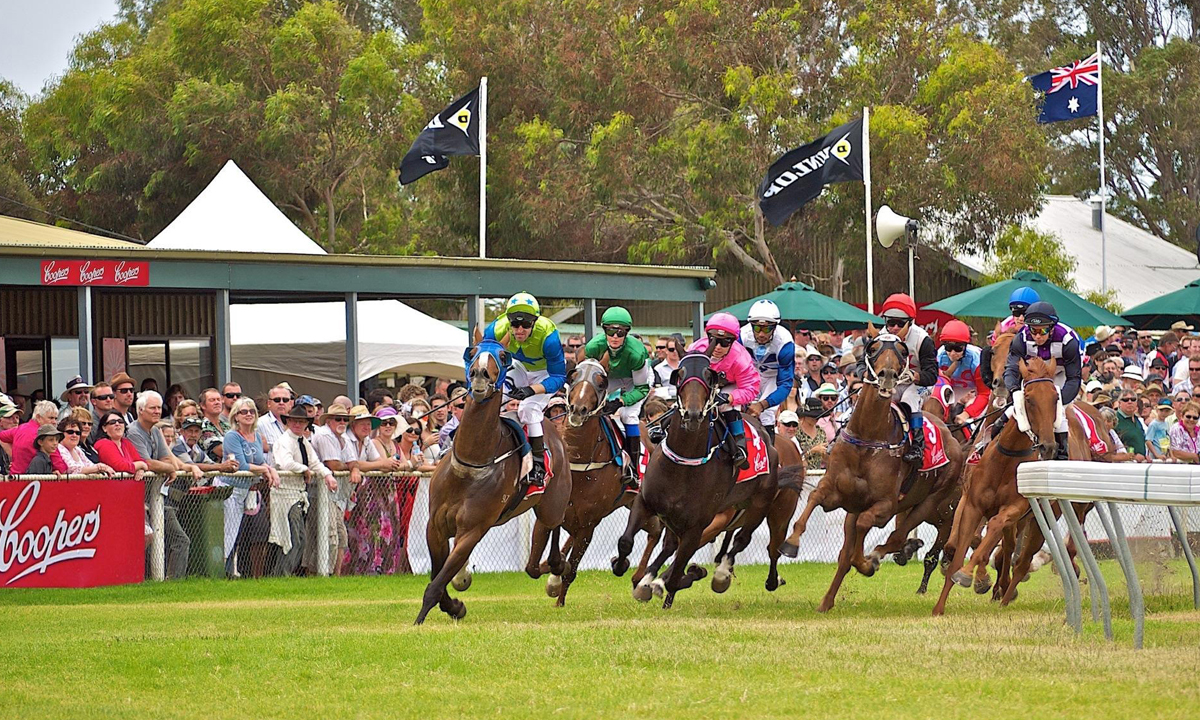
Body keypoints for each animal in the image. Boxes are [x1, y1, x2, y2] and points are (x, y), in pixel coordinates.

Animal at [415, 333, 573, 619]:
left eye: (502, 356)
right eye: (472, 351)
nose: (479, 374)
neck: (472, 465)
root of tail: (553, 429)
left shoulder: (473, 530)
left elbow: (436, 583)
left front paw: (422, 619)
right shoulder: (436, 527)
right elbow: (438, 576)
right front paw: (454, 604)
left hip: (553, 500)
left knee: (554, 524)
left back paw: (557, 569)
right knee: (539, 548)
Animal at [520, 357, 662, 604]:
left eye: (601, 382)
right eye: (572, 375)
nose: (578, 409)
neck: (577, 462)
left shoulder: (589, 523)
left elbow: (571, 570)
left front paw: (559, 597)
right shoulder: (550, 515)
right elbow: (533, 567)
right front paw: (554, 573)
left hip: (638, 503)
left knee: (656, 530)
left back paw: (636, 576)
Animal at [609, 352, 777, 607]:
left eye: (709, 376)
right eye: (680, 374)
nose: (693, 414)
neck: (683, 464)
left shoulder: (697, 525)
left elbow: (677, 571)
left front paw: (670, 583)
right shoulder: (645, 502)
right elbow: (626, 541)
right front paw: (621, 566)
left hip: (758, 504)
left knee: (741, 538)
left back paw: (718, 575)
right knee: (670, 545)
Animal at [777, 328, 964, 609]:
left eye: (902, 352)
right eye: (873, 348)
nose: (887, 376)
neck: (869, 436)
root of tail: (951, 437)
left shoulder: (884, 505)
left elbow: (864, 532)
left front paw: (868, 562)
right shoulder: (838, 493)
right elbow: (814, 498)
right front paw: (791, 542)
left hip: (930, 502)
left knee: (895, 536)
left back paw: (885, 554)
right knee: (854, 551)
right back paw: (827, 601)